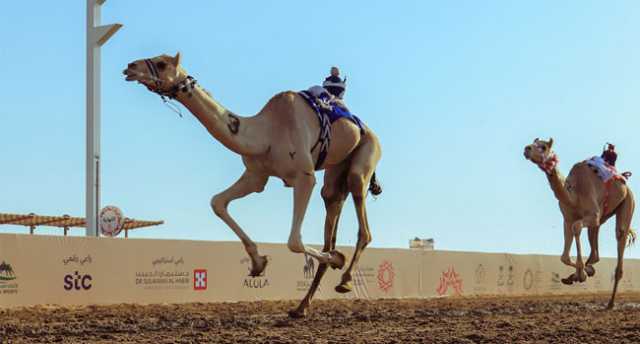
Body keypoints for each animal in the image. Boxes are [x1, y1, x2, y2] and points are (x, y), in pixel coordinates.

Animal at [125, 51, 382, 318]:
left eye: (162, 63)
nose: (130, 67)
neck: (265, 134)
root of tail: (363, 126)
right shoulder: (256, 176)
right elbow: (217, 203)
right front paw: (259, 263)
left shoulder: (304, 176)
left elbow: (294, 241)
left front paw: (338, 259)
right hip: (335, 171)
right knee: (331, 202)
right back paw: (301, 306)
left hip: (368, 152)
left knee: (361, 213)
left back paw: (345, 278)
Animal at [524, 138, 636, 310]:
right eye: (533, 143)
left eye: (543, 147)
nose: (527, 149)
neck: (574, 195)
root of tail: (625, 181)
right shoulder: (567, 218)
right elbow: (564, 256)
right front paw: (579, 274)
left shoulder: (592, 215)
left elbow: (576, 227)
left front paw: (582, 274)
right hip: (601, 219)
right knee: (595, 252)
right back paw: (586, 270)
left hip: (627, 203)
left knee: (620, 236)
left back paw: (610, 303)